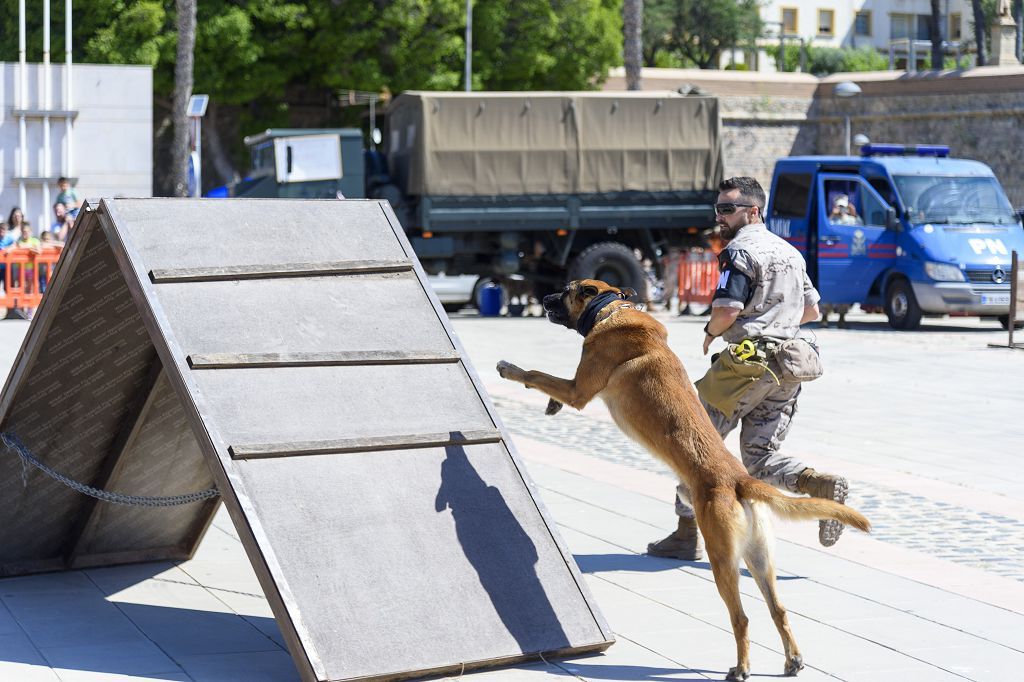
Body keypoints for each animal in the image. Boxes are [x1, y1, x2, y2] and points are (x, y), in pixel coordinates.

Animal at [499, 278, 868, 679]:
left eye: (566, 290)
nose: (542, 297)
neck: (611, 310)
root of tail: (739, 479)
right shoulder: (576, 386)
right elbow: (550, 385)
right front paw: (550, 404)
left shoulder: (580, 389)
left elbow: (537, 375)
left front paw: (509, 368)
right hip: (759, 559)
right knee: (778, 609)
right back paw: (793, 659)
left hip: (723, 561)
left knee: (742, 618)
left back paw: (741, 667)